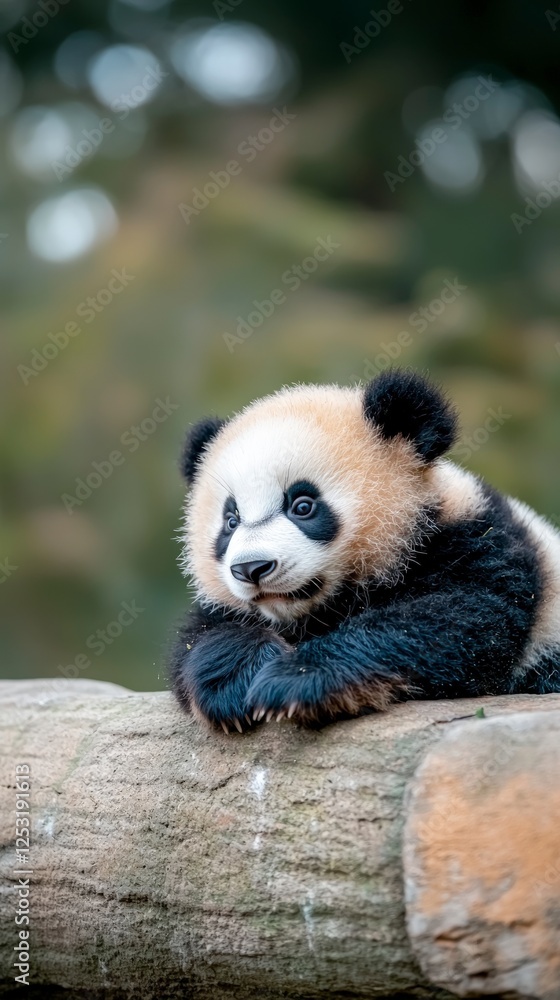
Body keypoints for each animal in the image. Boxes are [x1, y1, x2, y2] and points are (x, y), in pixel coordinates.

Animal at [169, 370, 560, 732]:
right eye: (231, 520)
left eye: (303, 506)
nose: (252, 568)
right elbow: (200, 637)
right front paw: (236, 679)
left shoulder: (480, 545)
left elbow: (459, 620)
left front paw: (295, 680)